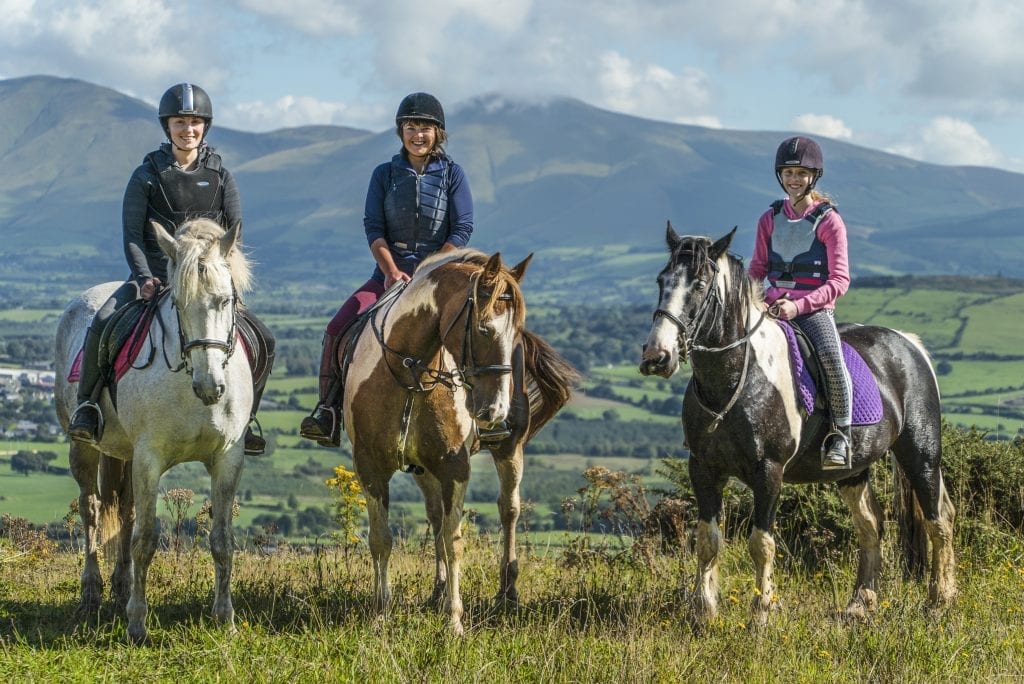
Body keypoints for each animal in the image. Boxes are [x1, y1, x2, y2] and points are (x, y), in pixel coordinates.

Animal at [56, 218, 256, 643]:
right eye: (177, 303)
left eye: (226, 301)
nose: (210, 386)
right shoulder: (149, 458)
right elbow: (146, 539)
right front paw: (136, 625)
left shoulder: (228, 458)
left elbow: (221, 540)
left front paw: (225, 618)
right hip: (84, 447)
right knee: (91, 509)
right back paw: (92, 592)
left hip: (125, 455)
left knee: (124, 511)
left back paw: (121, 586)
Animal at [337, 246, 573, 634]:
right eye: (483, 329)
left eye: (516, 333)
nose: (495, 410)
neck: (410, 372)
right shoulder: (371, 466)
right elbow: (382, 539)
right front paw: (380, 614)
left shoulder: (454, 467)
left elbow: (454, 542)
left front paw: (454, 621)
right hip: (422, 469)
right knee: (435, 516)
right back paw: (436, 593)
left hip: (509, 449)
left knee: (508, 509)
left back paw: (507, 593)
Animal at [634, 228, 954, 630]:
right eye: (662, 281)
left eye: (700, 284)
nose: (656, 357)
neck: (734, 380)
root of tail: (911, 345)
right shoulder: (703, 468)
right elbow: (708, 538)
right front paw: (703, 611)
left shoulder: (768, 471)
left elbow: (761, 543)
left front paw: (761, 613)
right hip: (853, 469)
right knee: (871, 525)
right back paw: (860, 604)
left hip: (920, 454)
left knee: (939, 521)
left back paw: (939, 603)